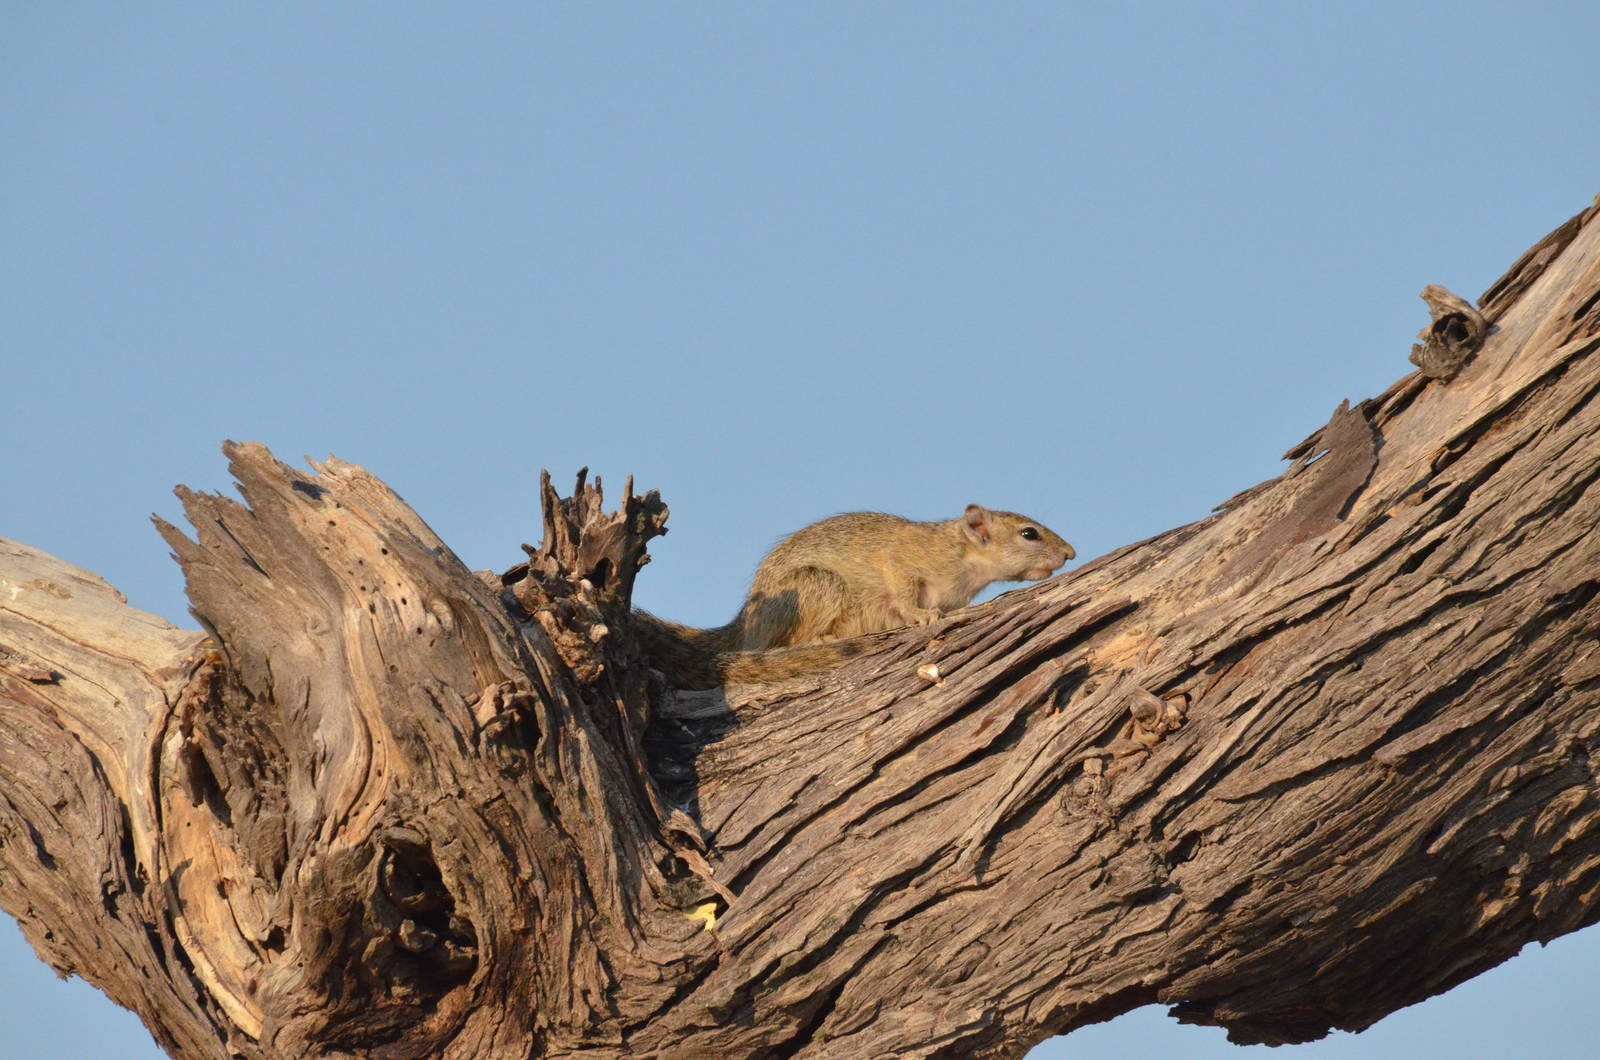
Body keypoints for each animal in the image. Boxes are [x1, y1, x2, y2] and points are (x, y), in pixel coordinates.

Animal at [637, 504, 1074, 688]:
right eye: (1029, 534)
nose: (1070, 553)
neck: (966, 564)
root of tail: (744, 625)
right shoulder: (905, 555)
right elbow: (900, 584)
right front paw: (919, 615)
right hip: (816, 587)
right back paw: (825, 637)